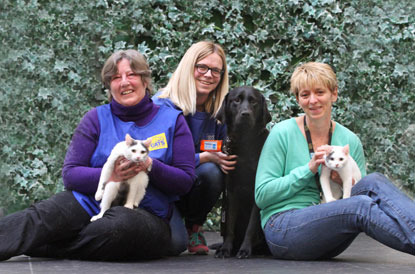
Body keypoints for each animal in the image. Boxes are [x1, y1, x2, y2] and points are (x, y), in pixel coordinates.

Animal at [214, 85, 272, 260]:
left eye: (253, 102)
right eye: (236, 100)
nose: (245, 114)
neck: (245, 142)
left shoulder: (257, 193)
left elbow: (251, 227)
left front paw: (245, 250)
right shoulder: (231, 191)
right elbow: (230, 225)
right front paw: (226, 249)